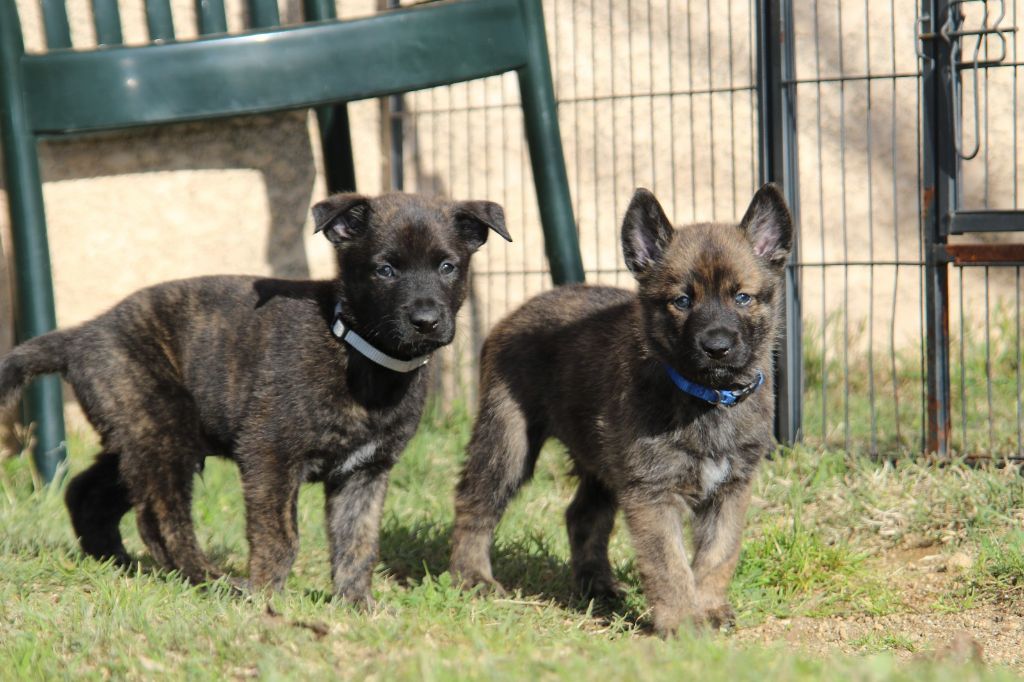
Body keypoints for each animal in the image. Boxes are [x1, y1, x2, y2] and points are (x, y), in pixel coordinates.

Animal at [0, 192, 512, 606]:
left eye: (447, 266)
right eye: (385, 269)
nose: (426, 320)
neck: (359, 352)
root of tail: (81, 335)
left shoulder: (366, 471)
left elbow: (358, 542)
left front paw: (356, 604)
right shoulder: (271, 455)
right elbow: (281, 535)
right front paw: (267, 597)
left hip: (142, 432)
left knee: (87, 491)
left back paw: (116, 561)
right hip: (165, 435)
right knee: (161, 521)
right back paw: (209, 579)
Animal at [448, 184, 790, 630]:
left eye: (743, 297)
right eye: (682, 301)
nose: (716, 347)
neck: (705, 398)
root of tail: (515, 312)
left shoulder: (731, 487)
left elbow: (719, 554)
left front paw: (710, 607)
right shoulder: (650, 492)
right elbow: (669, 563)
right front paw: (683, 622)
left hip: (601, 459)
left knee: (582, 516)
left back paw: (597, 587)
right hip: (506, 443)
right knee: (475, 502)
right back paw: (471, 577)